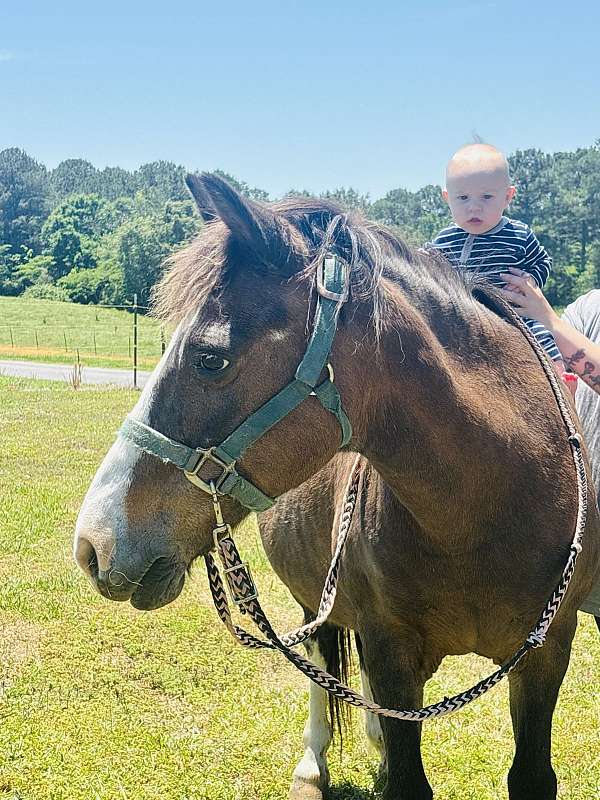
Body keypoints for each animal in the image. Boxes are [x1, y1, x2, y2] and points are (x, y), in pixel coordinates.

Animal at [74, 173, 600, 800]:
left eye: (209, 358)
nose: (93, 544)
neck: (488, 508)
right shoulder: (392, 648)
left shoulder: (548, 650)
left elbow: (529, 775)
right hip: (312, 599)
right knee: (323, 660)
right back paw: (315, 762)